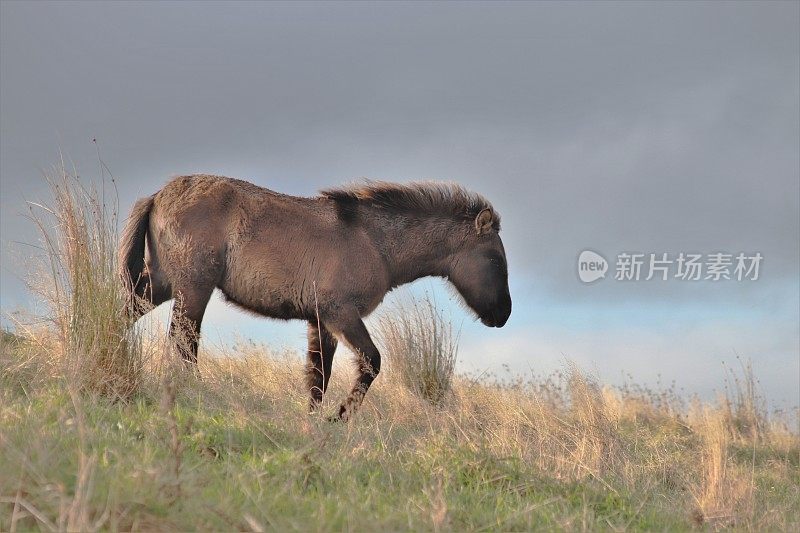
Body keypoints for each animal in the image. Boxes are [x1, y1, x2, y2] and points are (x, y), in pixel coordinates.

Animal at [120, 175, 512, 420]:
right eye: (495, 259)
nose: (504, 314)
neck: (374, 241)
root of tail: (158, 195)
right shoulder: (342, 315)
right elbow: (371, 362)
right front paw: (339, 418)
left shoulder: (321, 322)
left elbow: (317, 378)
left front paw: (312, 422)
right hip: (193, 288)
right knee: (184, 342)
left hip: (163, 284)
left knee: (127, 312)